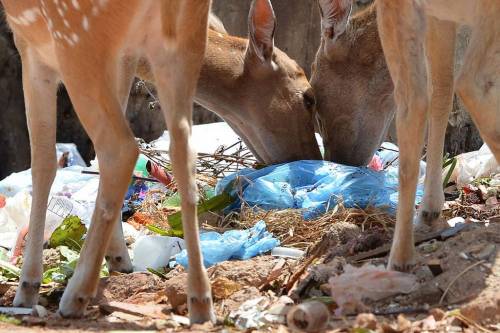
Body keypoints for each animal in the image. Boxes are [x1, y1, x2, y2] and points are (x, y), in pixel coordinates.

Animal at [1, 0, 218, 322]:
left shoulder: (32, 47)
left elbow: (42, 163)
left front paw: (27, 286)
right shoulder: (124, 54)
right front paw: (119, 257)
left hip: (76, 42)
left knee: (120, 148)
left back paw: (75, 295)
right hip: (185, 43)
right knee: (182, 148)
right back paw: (200, 301)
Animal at [314, 0, 498, 270]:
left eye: (313, 99)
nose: (337, 160)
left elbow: (442, 89)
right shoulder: (442, 17)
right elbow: (445, 88)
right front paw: (430, 210)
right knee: (462, 85)